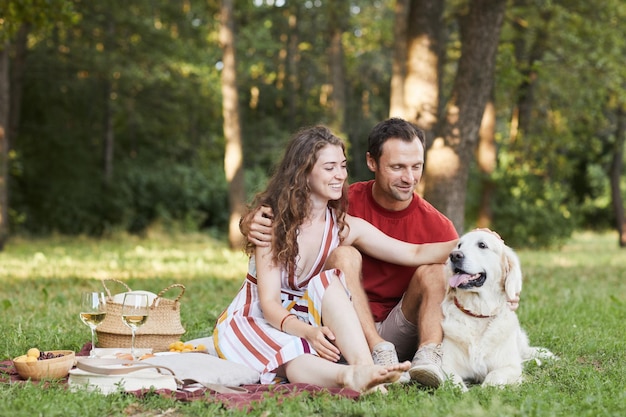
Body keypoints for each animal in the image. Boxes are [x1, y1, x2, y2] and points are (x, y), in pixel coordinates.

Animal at [438, 228, 552, 390]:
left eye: (482, 245)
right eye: (459, 245)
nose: (454, 255)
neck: (478, 313)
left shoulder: (510, 366)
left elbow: (494, 376)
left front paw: (486, 389)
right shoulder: (445, 365)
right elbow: (454, 381)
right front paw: (462, 391)